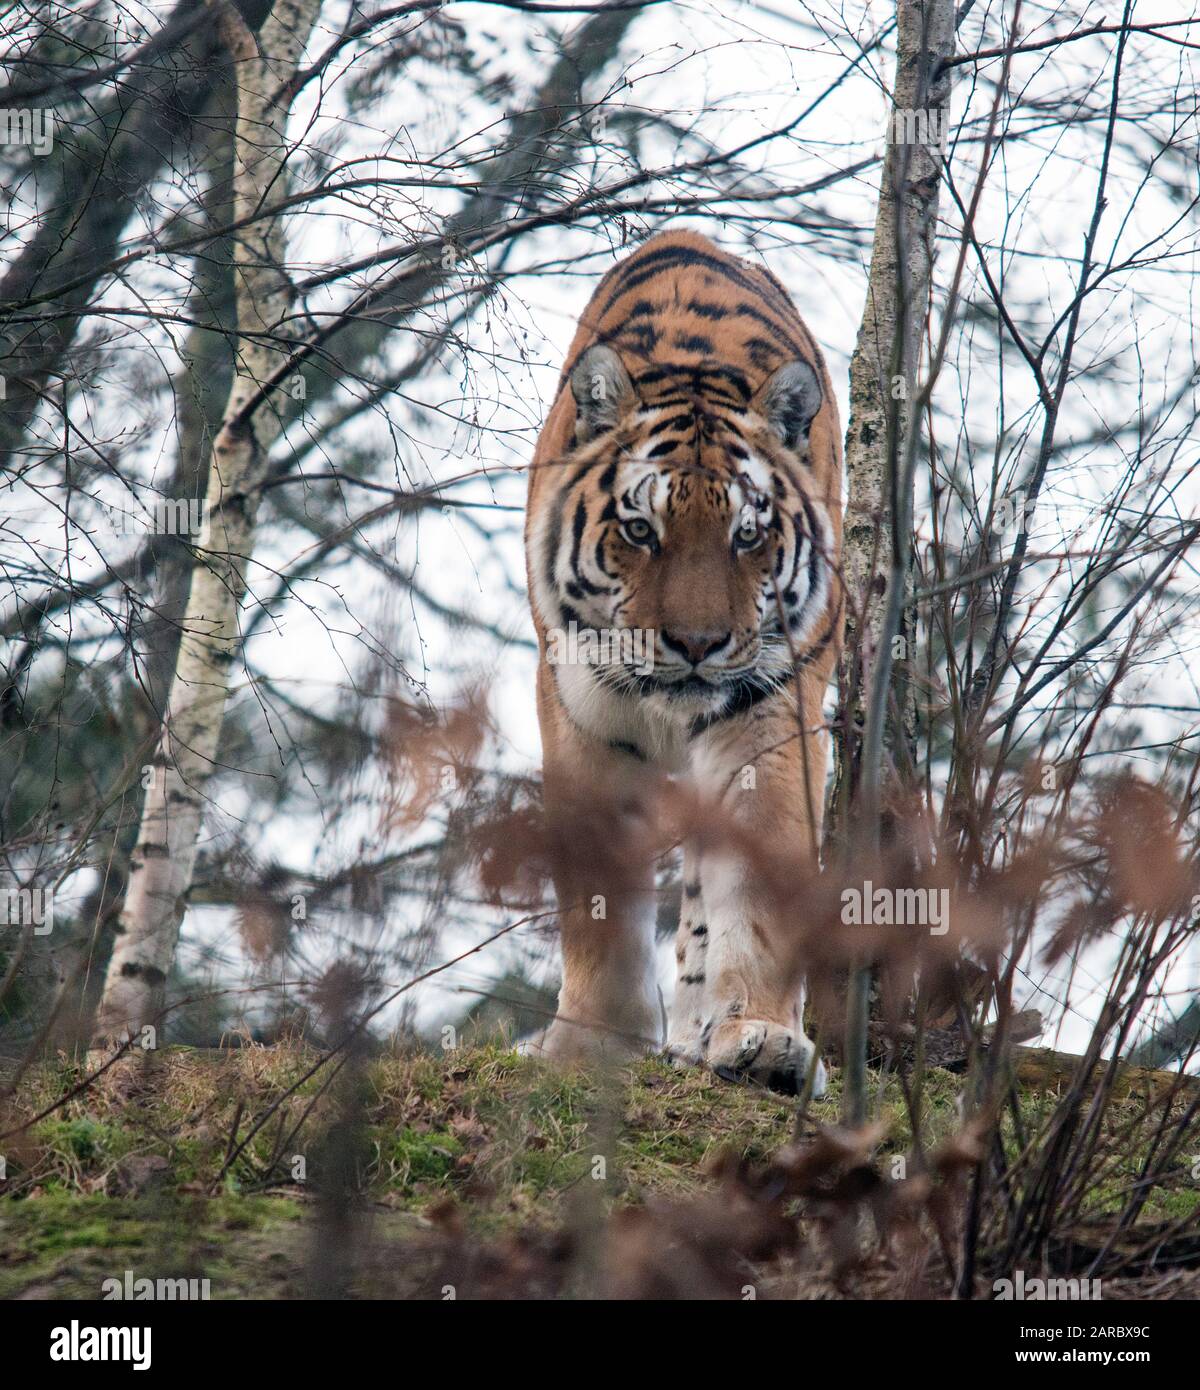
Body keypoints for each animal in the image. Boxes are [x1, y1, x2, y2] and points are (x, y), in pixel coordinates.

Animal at [525, 230, 845, 1095]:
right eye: (641, 530)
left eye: (747, 534)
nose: (697, 645)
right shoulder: (584, 716)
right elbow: (596, 897)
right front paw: (590, 1044)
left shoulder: (769, 709)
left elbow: (757, 878)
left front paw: (763, 1038)